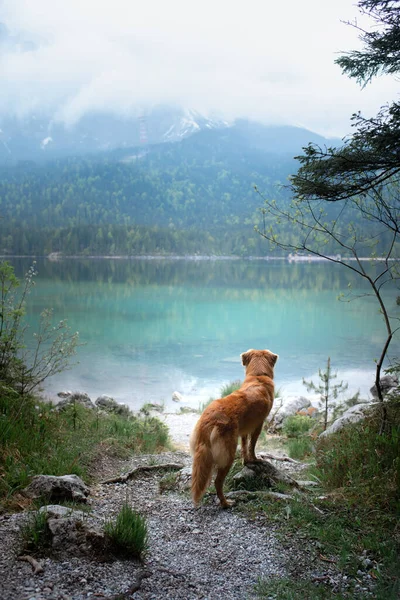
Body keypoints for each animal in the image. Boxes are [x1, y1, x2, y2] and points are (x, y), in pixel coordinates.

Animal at [190, 350, 278, 508]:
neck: (258, 376)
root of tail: (209, 420)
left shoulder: (243, 430)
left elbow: (244, 446)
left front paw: (246, 461)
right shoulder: (258, 425)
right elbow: (251, 446)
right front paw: (255, 459)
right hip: (228, 454)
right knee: (218, 482)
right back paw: (226, 503)